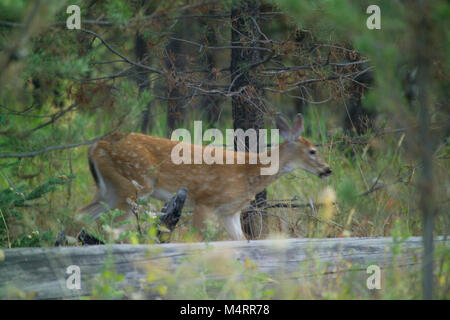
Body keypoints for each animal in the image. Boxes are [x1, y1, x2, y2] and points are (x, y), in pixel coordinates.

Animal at [76, 114, 330, 241]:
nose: (327, 170)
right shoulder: (204, 201)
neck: (248, 174)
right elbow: (195, 240)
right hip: (134, 184)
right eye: (312, 151)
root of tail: (96, 146)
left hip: (109, 189)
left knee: (81, 215)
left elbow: (242, 243)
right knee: (111, 226)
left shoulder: (229, 212)